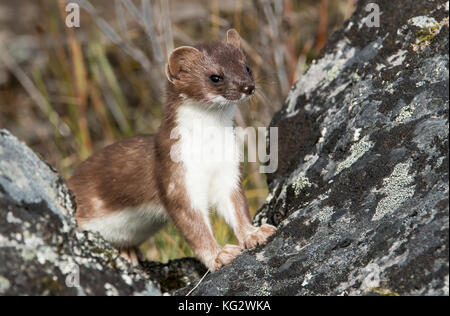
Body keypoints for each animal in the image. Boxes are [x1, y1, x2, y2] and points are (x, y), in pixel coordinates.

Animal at [67, 30, 276, 272]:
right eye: (215, 77)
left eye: (246, 66)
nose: (247, 87)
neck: (209, 149)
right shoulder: (175, 176)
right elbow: (193, 225)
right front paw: (219, 255)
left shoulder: (229, 170)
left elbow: (237, 207)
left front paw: (255, 233)